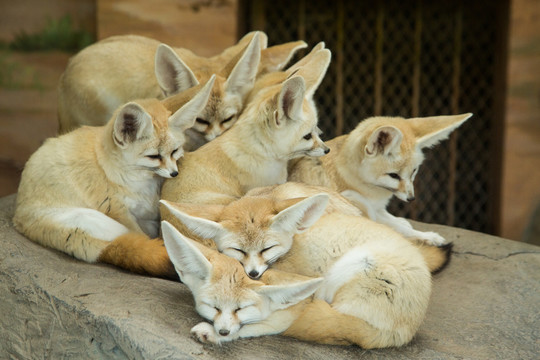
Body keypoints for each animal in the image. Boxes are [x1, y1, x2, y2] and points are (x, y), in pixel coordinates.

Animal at [12, 77, 213, 278]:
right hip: (94, 221)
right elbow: (142, 236)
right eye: (154, 156)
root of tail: (19, 218)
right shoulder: (118, 210)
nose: (174, 173)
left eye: (175, 151)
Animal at [286, 114, 472, 246]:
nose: (411, 198)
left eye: (414, 171)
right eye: (394, 175)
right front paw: (427, 236)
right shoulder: (362, 205)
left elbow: (393, 220)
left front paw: (402, 221)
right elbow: (396, 228)